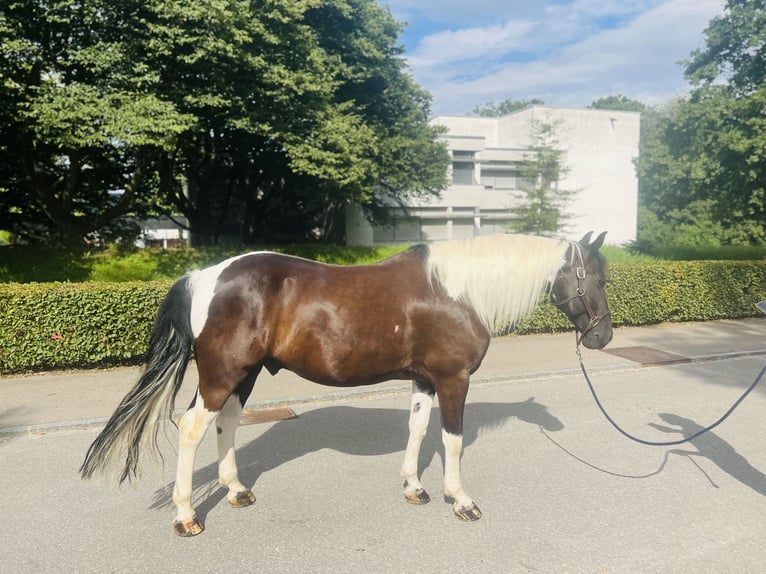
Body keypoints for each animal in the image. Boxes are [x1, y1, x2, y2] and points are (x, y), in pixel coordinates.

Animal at [81, 232, 616, 536]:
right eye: (597, 276)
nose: (603, 336)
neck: (456, 290)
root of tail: (202, 276)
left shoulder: (424, 380)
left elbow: (417, 431)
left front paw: (414, 488)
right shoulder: (453, 379)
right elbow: (453, 440)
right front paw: (460, 500)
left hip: (244, 376)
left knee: (227, 423)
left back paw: (235, 491)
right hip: (221, 374)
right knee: (193, 427)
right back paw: (186, 517)